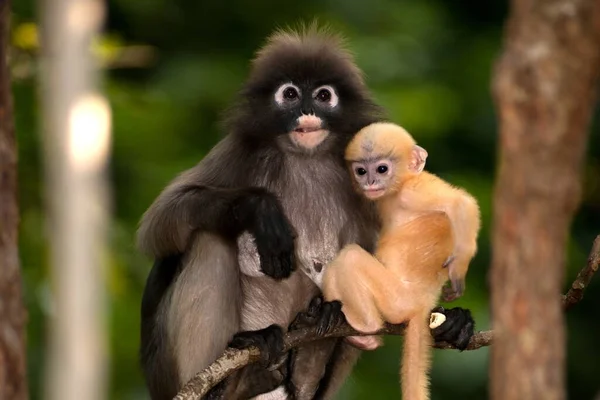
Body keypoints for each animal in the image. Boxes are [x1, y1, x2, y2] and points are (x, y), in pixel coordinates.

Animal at [322, 121, 480, 400]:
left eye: (382, 169)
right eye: (361, 170)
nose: (370, 181)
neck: (401, 186)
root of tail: (423, 303)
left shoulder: (415, 192)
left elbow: (461, 203)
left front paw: (458, 270)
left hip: (395, 298)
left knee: (349, 257)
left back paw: (366, 329)